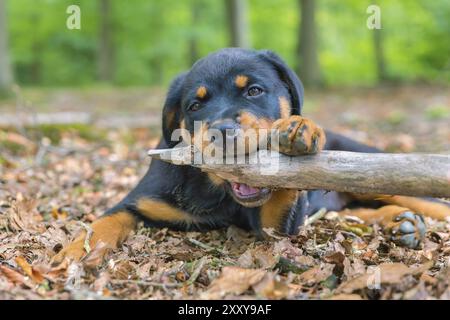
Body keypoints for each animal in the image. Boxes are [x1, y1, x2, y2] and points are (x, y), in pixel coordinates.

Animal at [52, 48, 450, 264]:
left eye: (254, 91)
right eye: (195, 105)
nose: (223, 131)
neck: (216, 194)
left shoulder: (277, 225)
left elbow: (283, 191)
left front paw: (300, 129)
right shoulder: (139, 202)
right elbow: (103, 221)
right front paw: (76, 250)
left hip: (378, 173)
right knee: (354, 213)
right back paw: (400, 223)